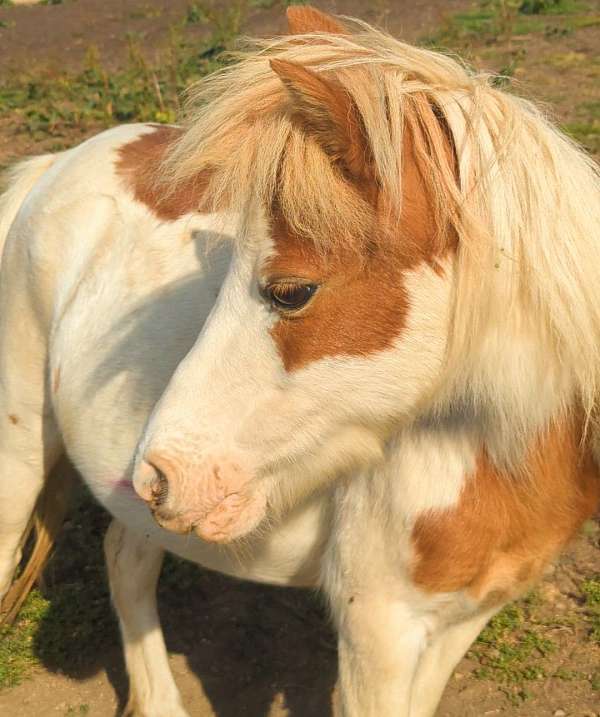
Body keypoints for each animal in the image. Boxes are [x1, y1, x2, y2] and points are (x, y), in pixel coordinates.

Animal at [1, 7, 600, 716]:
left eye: (290, 291)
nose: (164, 475)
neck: (492, 449)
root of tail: (54, 163)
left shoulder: (462, 617)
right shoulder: (378, 631)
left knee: (126, 558)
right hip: (20, 458)